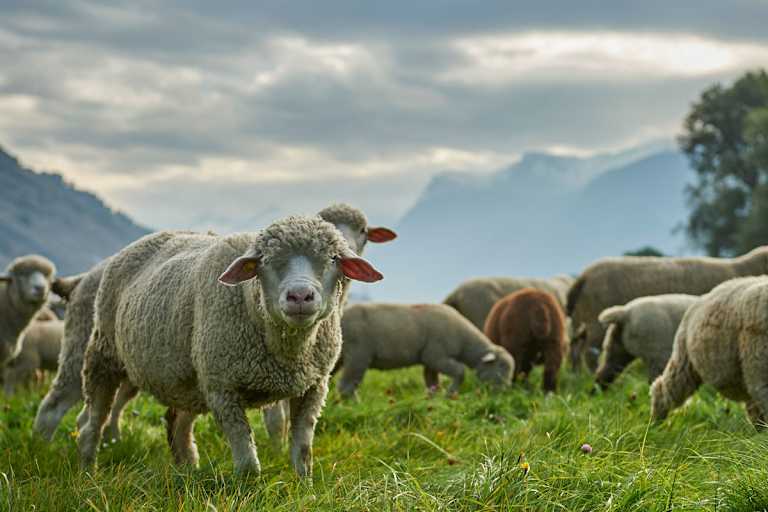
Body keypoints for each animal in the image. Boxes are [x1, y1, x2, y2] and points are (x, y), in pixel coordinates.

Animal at [77, 216, 383, 476]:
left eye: (333, 258)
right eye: (266, 260)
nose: (299, 296)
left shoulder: (313, 388)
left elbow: (303, 452)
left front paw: (303, 486)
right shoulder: (223, 389)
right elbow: (247, 461)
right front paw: (249, 490)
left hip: (189, 380)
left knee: (179, 427)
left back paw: (188, 472)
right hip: (104, 355)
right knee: (93, 423)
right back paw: (88, 472)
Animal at [336, 303, 514, 398]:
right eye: (501, 367)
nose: (504, 392)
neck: (464, 341)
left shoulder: (430, 361)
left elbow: (432, 382)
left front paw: (433, 399)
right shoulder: (436, 355)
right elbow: (460, 371)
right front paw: (450, 395)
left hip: (339, 356)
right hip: (358, 354)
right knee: (346, 386)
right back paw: (355, 406)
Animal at [567, 246, 768, 371]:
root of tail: (583, 277)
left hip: (580, 321)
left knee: (575, 349)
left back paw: (576, 376)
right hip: (593, 321)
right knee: (589, 353)